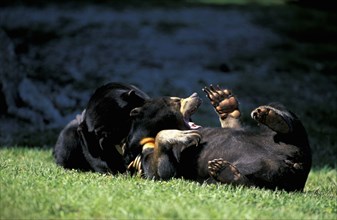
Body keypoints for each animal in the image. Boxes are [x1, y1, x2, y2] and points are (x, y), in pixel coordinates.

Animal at [124, 85, 312, 192]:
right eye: (177, 100)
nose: (195, 95)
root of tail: (294, 162)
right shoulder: (143, 155)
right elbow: (161, 172)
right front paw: (183, 136)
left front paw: (224, 103)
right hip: (269, 174)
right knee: (249, 183)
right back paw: (227, 173)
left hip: (283, 139)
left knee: (286, 117)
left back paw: (271, 117)